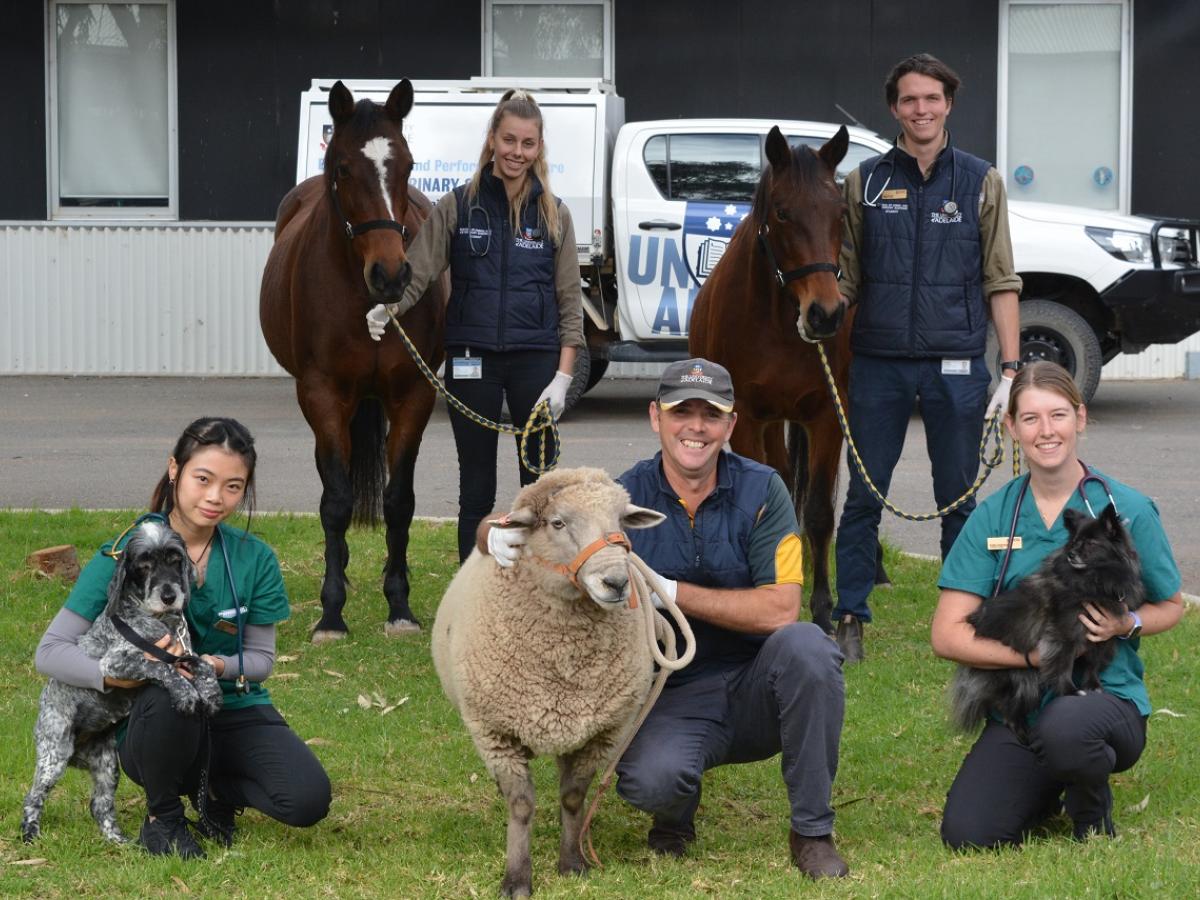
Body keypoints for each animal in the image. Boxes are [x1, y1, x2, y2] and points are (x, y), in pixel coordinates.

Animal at [20, 520, 223, 844]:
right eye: (143, 565)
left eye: (175, 559)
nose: (169, 596)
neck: (160, 621)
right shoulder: (116, 663)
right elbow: (162, 669)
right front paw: (186, 694)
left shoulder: (183, 652)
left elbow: (202, 663)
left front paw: (211, 693)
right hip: (54, 755)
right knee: (33, 796)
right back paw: (30, 833)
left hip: (107, 765)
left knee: (99, 805)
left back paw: (118, 841)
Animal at [261, 77, 446, 643]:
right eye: (342, 168)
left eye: (407, 165)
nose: (391, 275)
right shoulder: (322, 393)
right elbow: (336, 501)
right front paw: (331, 612)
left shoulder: (414, 393)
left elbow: (399, 501)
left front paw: (400, 604)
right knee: (330, 483)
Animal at [434, 468, 676, 897]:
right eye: (557, 523)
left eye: (620, 521)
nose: (616, 582)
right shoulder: (495, 733)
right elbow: (521, 805)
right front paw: (517, 879)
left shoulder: (601, 733)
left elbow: (574, 798)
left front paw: (573, 863)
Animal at [691, 125, 888, 633]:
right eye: (782, 212)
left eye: (839, 212)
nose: (825, 313)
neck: (778, 322)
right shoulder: (746, 421)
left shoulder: (826, 418)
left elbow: (818, 512)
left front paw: (820, 608)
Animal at [945, 508, 1142, 748]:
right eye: (1074, 542)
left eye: (1091, 543)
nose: (1071, 554)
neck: (1095, 580)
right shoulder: (1063, 634)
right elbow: (1063, 665)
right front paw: (1071, 691)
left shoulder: (1102, 634)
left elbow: (1092, 664)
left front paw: (1093, 685)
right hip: (1025, 680)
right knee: (1008, 710)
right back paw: (1024, 735)